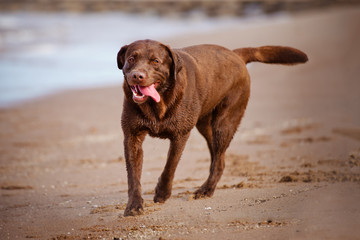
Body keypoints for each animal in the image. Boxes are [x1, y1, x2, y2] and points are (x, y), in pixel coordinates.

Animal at [116, 39, 308, 216]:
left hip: (225, 122)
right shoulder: (132, 136)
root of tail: (235, 54)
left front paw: (162, 193)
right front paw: (134, 205)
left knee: (219, 158)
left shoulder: (180, 135)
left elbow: (170, 165)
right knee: (217, 157)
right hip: (206, 125)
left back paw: (206, 189)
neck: (157, 104)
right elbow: (133, 175)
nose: (137, 75)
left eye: (156, 61)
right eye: (131, 58)